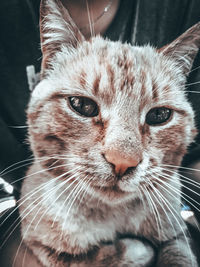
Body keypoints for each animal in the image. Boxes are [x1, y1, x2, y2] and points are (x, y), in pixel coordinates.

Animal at [18, 0, 200, 266]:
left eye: (159, 115)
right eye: (82, 105)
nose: (123, 162)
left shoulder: (176, 233)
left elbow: (178, 256)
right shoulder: (40, 244)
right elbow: (90, 257)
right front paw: (137, 249)